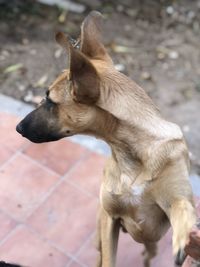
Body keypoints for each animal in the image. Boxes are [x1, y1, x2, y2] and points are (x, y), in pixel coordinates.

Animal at [16, 11, 197, 267]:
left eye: (50, 101)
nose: (18, 127)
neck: (132, 154)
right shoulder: (110, 218)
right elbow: (109, 259)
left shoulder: (175, 199)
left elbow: (182, 207)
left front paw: (182, 238)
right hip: (98, 234)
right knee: (100, 256)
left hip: (150, 244)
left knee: (148, 254)